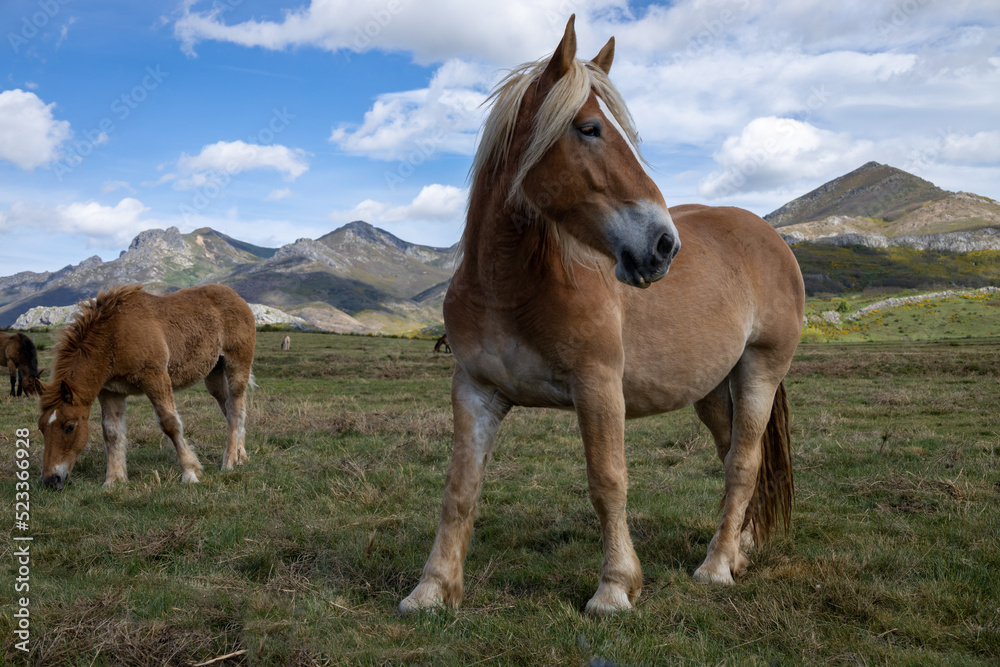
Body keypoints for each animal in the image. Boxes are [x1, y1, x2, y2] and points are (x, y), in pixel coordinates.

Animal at [38, 284, 257, 490]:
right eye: (41, 428)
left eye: (70, 427)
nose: (51, 480)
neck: (114, 335)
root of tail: (238, 298)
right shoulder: (110, 391)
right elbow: (111, 432)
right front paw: (113, 480)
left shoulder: (155, 378)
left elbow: (170, 423)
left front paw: (190, 472)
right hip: (214, 375)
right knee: (229, 408)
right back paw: (241, 456)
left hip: (237, 364)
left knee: (235, 408)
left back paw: (229, 462)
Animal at [400, 15, 804, 616]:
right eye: (589, 128)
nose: (663, 246)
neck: (510, 289)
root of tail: (769, 237)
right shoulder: (475, 390)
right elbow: (459, 489)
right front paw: (430, 588)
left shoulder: (598, 386)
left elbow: (607, 482)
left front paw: (615, 588)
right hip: (713, 387)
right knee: (733, 451)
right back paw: (739, 548)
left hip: (760, 370)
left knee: (743, 463)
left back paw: (715, 567)